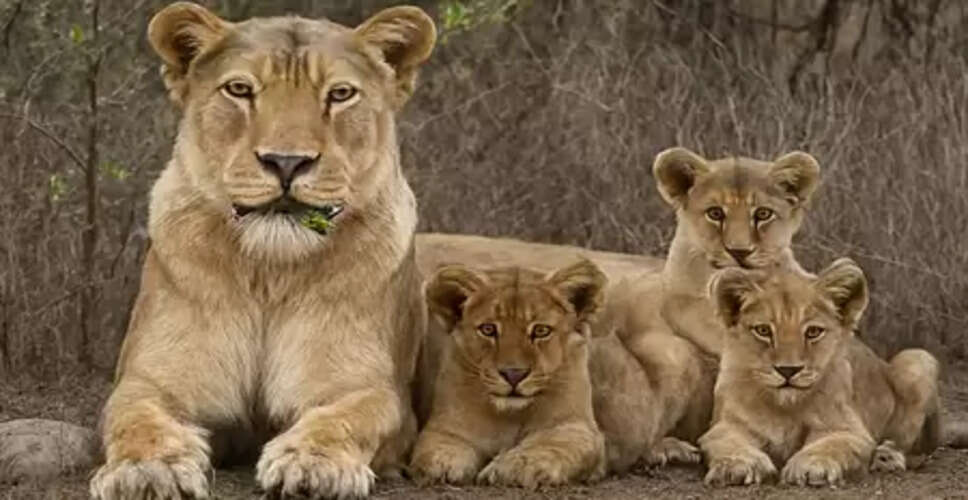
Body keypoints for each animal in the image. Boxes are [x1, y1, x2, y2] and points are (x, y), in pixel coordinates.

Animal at [89, 3, 436, 499]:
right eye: (240, 89)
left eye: (340, 94)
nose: (286, 162)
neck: (269, 272)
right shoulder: (151, 378)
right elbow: (135, 417)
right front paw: (147, 469)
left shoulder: (369, 388)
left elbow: (348, 417)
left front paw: (312, 463)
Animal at [409, 260, 607, 488]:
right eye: (488, 329)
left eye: (541, 331)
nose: (514, 374)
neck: (510, 415)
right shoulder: (445, 425)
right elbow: (439, 446)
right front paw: (443, 465)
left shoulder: (577, 427)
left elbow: (551, 446)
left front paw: (514, 467)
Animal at [700, 258, 943, 487]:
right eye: (763, 331)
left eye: (813, 332)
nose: (788, 370)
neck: (784, 408)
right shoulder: (724, 426)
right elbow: (727, 442)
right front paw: (738, 465)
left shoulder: (848, 428)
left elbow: (831, 445)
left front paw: (811, 466)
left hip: (917, 359)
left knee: (913, 448)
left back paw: (886, 457)